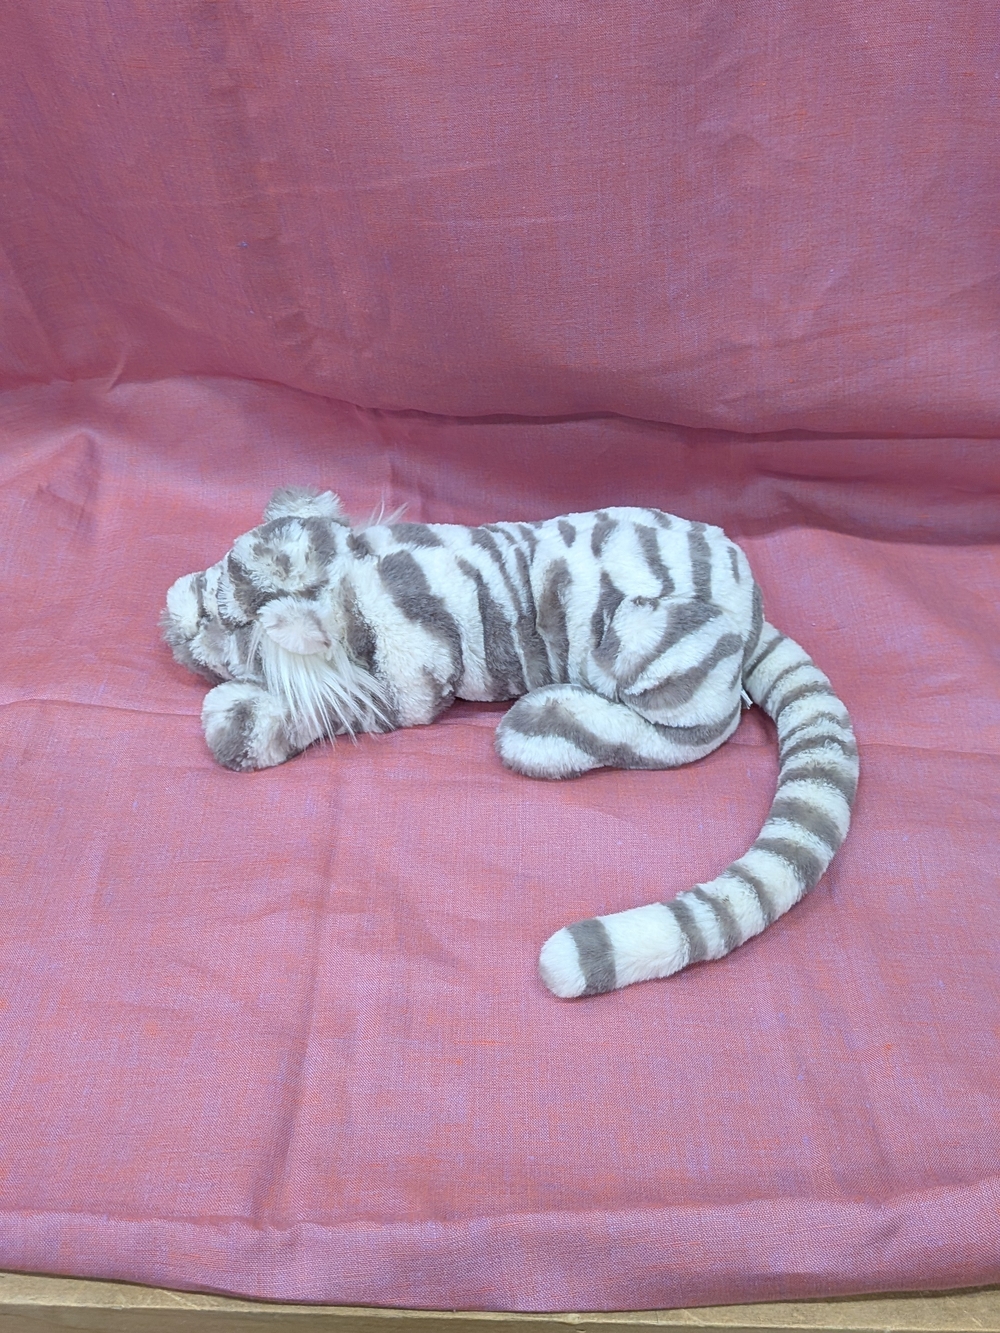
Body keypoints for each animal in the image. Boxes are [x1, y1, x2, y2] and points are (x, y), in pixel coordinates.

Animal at [162, 487, 859, 999]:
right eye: (213, 572)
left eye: (224, 622)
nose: (168, 610)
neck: (352, 573)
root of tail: (755, 614)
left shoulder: (404, 690)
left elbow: (321, 708)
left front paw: (235, 721)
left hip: (656, 638)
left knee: (698, 730)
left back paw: (545, 723)